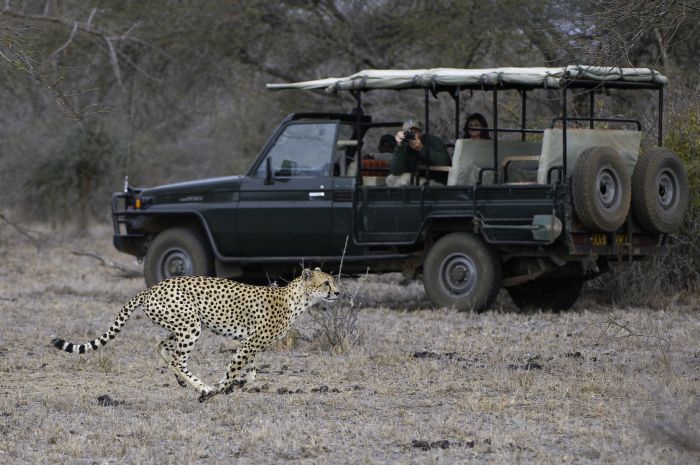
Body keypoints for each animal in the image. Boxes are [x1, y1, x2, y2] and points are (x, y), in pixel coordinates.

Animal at [50, 266, 340, 400]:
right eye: (326, 283)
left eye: (334, 281)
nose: (338, 292)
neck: (297, 299)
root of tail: (152, 287)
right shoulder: (250, 343)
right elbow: (234, 370)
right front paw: (218, 389)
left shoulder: (250, 343)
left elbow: (251, 374)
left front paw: (237, 385)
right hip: (190, 324)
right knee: (178, 359)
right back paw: (202, 387)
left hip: (181, 325)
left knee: (161, 346)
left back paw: (182, 381)